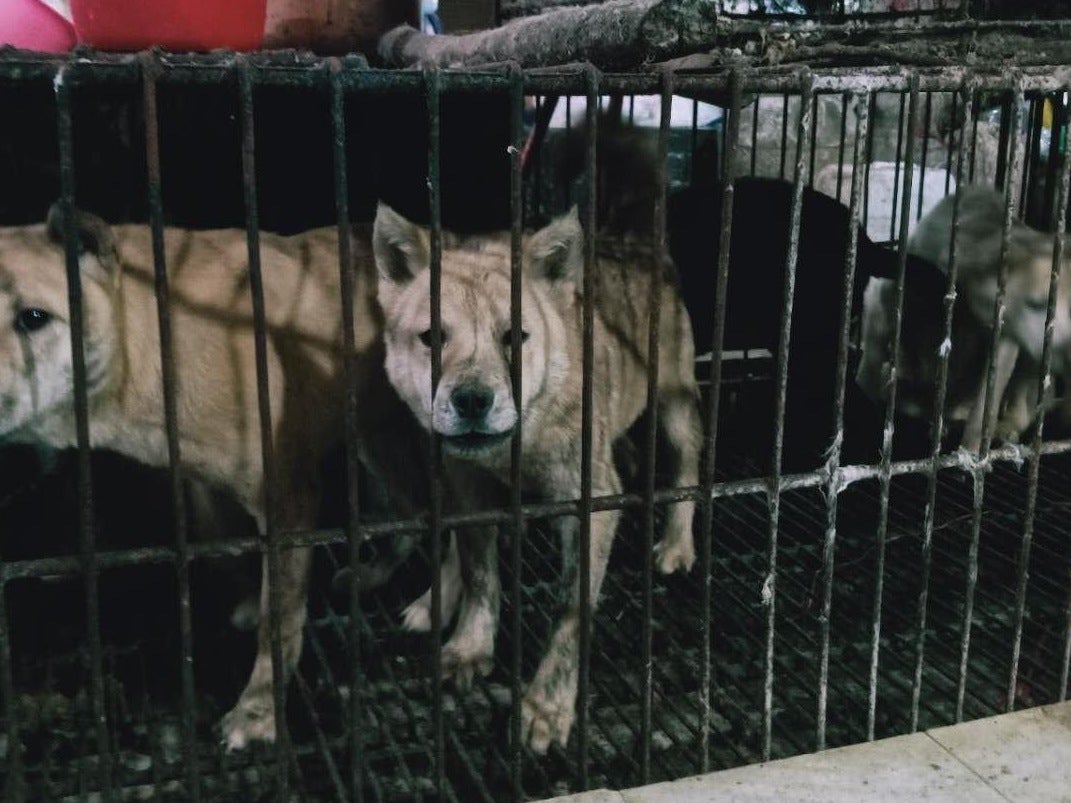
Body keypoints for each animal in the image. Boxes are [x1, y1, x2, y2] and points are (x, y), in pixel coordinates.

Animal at [370, 202, 702, 753]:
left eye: (515, 337)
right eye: (433, 338)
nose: (472, 400)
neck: (517, 448)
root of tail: (636, 244)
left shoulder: (591, 500)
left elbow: (571, 610)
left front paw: (547, 707)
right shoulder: (466, 485)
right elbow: (480, 573)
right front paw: (469, 646)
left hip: (675, 408)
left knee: (688, 468)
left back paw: (677, 545)